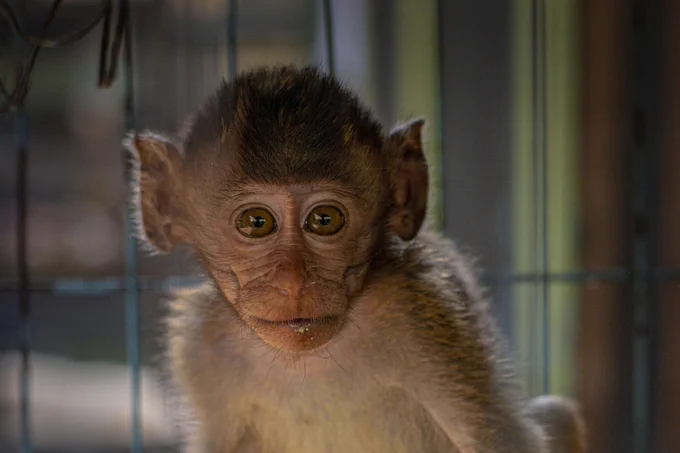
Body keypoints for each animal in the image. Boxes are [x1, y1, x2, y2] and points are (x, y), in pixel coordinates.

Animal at [124, 66, 586, 453]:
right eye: (256, 222)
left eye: (324, 220)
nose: (293, 281)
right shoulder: (200, 343)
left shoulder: (421, 311)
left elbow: (503, 440)